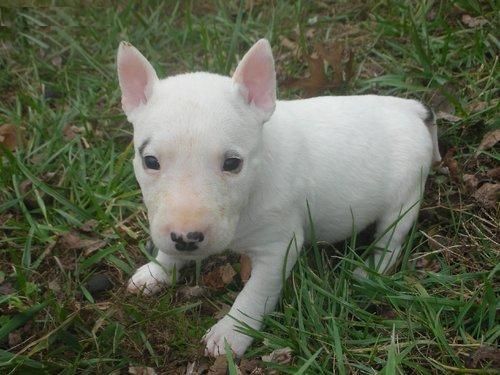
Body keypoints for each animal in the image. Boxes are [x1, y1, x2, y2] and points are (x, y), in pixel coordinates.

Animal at [117, 39, 442, 358]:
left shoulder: (278, 246)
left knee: (391, 241)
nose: (186, 238)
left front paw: (230, 334)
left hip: (405, 196)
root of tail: (410, 109)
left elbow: (255, 293)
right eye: (150, 161)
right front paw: (156, 271)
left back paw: (369, 270)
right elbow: (167, 252)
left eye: (232, 163)